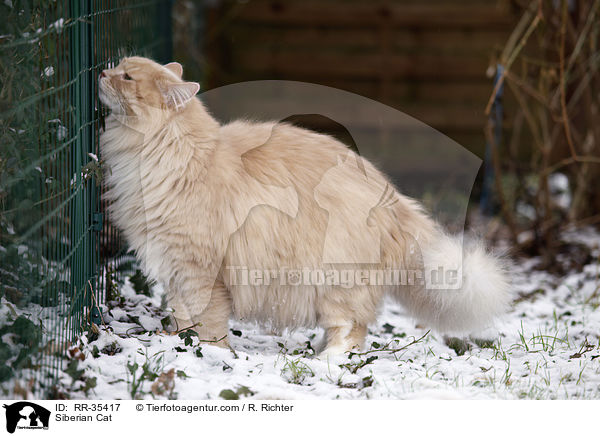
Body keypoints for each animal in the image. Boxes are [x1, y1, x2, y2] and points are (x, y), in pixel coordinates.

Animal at [98, 56, 510, 356]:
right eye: (119, 66)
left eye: (127, 77)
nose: (102, 71)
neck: (172, 153)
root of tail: (393, 198)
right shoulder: (173, 266)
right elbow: (182, 315)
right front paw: (178, 343)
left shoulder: (200, 271)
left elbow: (209, 324)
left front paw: (211, 354)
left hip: (337, 283)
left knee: (353, 330)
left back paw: (327, 361)